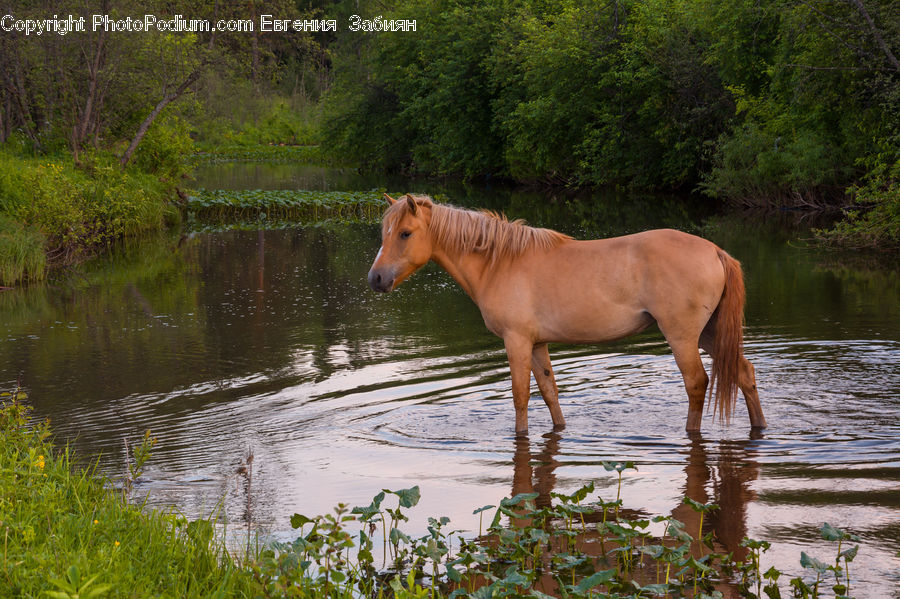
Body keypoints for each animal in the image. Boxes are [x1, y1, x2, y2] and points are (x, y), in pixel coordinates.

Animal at [367, 193, 766, 434]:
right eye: (385, 232)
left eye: (405, 233)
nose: (376, 278)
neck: (499, 262)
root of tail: (715, 251)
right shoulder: (537, 343)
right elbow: (549, 392)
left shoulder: (516, 341)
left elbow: (520, 394)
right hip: (710, 333)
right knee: (744, 373)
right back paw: (760, 427)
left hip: (682, 335)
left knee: (697, 382)